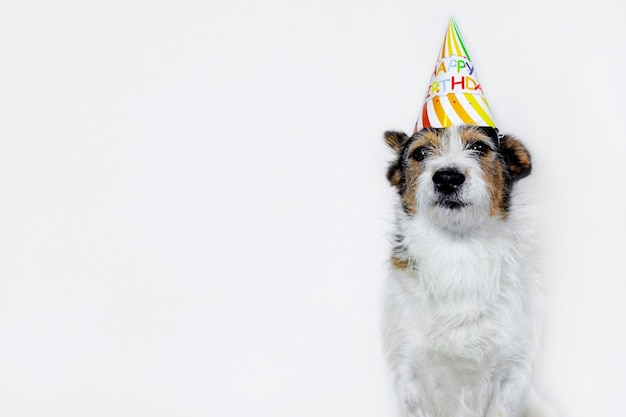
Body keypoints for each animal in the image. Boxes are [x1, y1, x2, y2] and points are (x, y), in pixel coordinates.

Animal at [380, 124, 552, 416]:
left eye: (480, 147)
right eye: (421, 152)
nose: (447, 178)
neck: (458, 251)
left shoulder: (513, 374)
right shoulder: (409, 377)